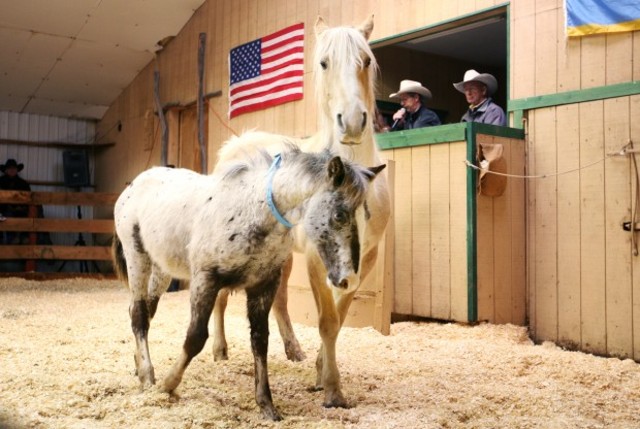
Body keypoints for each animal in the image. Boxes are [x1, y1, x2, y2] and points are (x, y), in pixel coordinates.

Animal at [112, 142, 385, 420]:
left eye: (366, 216)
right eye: (339, 215)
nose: (349, 279)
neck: (253, 210)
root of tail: (134, 184)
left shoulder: (263, 286)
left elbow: (260, 340)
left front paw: (267, 405)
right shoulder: (205, 279)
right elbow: (196, 337)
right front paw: (168, 385)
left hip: (161, 269)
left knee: (145, 310)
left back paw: (139, 366)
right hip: (137, 259)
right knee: (139, 315)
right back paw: (148, 377)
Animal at [211, 15, 391, 408]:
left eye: (366, 60)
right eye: (323, 62)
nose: (351, 122)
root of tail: (235, 145)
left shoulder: (365, 258)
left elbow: (338, 317)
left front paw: (321, 373)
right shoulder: (315, 258)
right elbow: (326, 320)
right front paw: (334, 390)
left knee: (278, 300)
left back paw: (293, 350)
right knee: (219, 293)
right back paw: (219, 349)